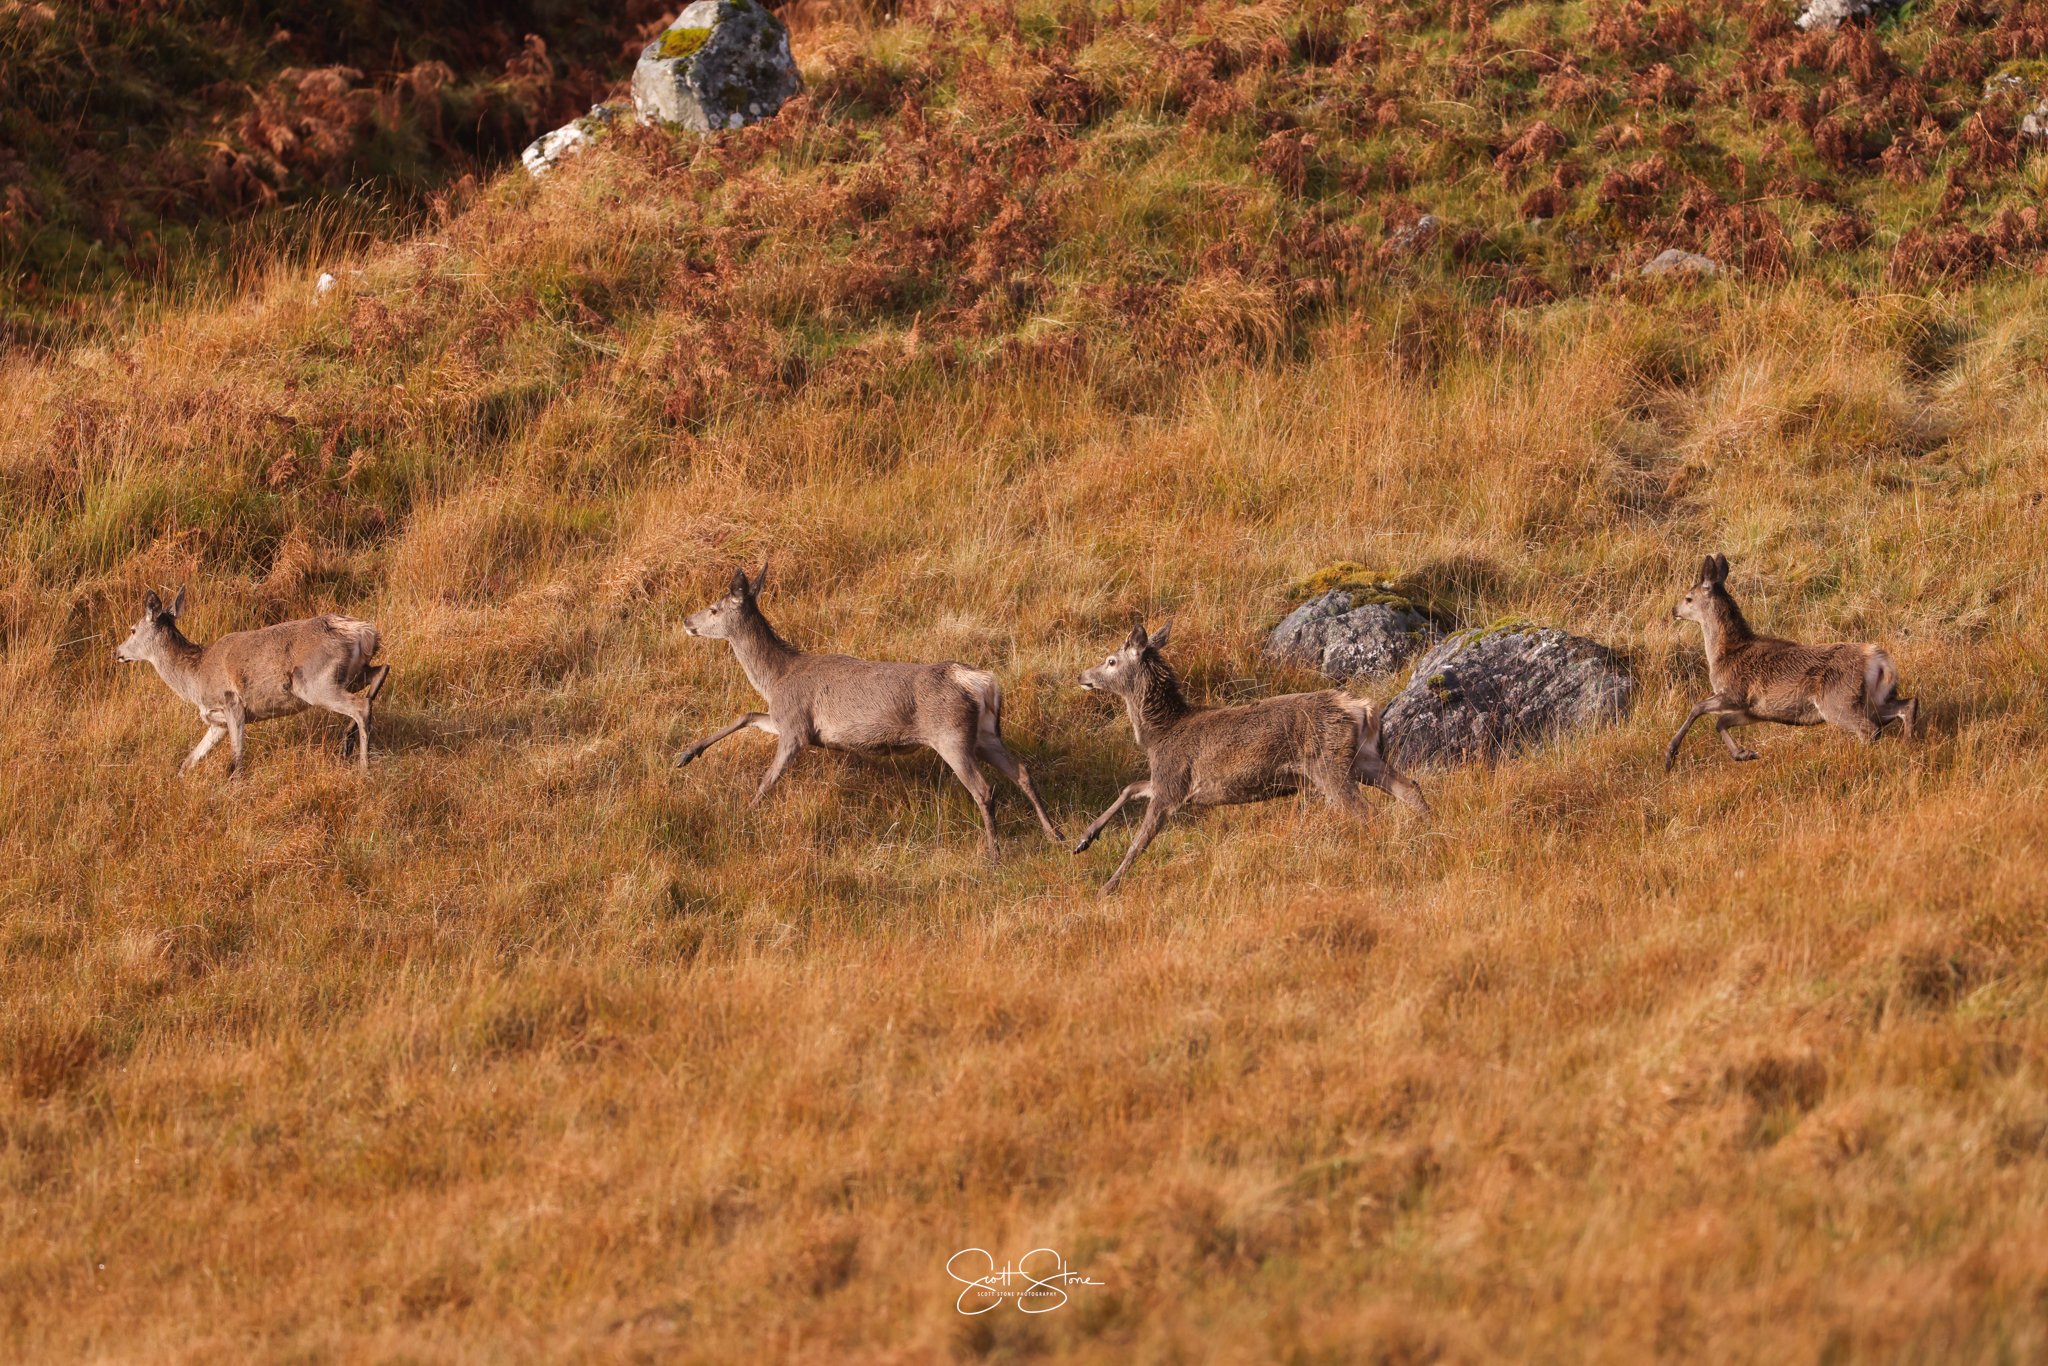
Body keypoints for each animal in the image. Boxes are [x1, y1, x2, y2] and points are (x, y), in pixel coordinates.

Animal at [114, 586, 391, 777]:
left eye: (132, 630)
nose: (117, 652)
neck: (194, 675)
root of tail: (364, 632)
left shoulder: (232, 702)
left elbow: (236, 759)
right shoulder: (217, 721)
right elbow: (190, 760)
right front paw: (179, 781)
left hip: (314, 682)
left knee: (360, 706)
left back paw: (363, 766)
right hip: (350, 674)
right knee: (380, 672)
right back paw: (347, 742)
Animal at [673, 563, 1065, 859]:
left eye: (714, 608)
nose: (686, 621)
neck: (776, 677)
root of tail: (980, 681)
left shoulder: (797, 726)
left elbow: (769, 778)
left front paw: (746, 814)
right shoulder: (787, 720)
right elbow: (748, 716)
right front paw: (686, 754)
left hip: (951, 735)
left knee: (984, 789)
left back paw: (994, 855)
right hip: (985, 733)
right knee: (1022, 772)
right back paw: (1055, 835)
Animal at [1071, 621, 1429, 893]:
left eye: (1111, 661)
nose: (1081, 676)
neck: (1158, 735)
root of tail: (1361, 708)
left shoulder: (1172, 784)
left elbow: (1139, 841)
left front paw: (1107, 888)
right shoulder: (1170, 783)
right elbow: (1130, 787)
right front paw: (1084, 839)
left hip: (1328, 764)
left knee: (1366, 811)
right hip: (1360, 758)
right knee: (1408, 786)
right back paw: (1428, 828)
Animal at [1665, 553, 1917, 771]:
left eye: (1689, 597)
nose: (1674, 609)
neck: (1725, 654)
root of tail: (1881, 661)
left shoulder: (1735, 692)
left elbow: (1698, 707)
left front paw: (1670, 755)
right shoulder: (1754, 710)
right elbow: (1721, 722)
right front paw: (1745, 754)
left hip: (1838, 700)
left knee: (1870, 729)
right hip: (1873, 699)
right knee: (1907, 705)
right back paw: (1908, 744)